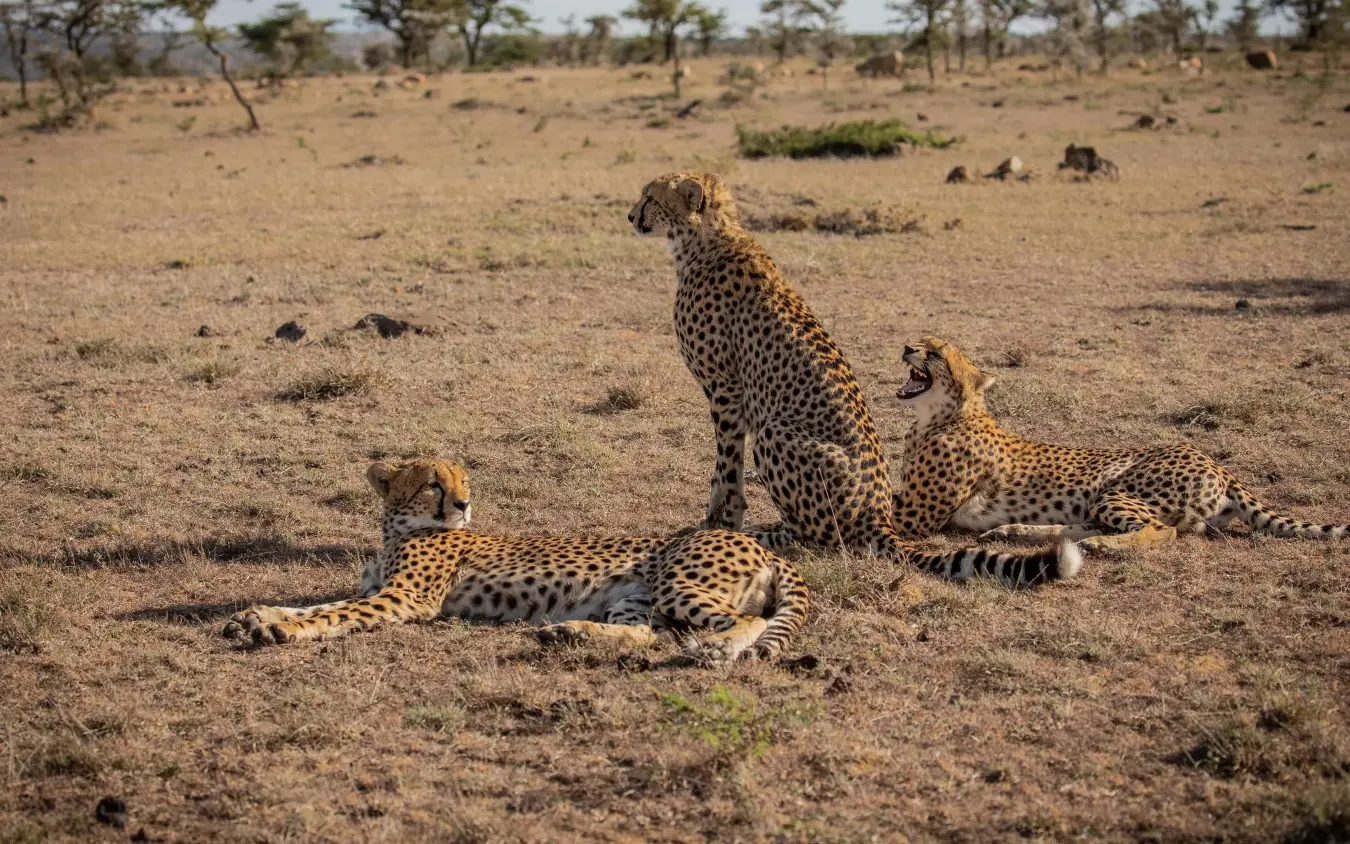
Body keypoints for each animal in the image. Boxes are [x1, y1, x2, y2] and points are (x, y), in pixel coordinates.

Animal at [221, 458, 809, 664]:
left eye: (463, 481)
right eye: (434, 483)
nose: (463, 504)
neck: (397, 530)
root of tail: (759, 543)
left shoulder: (405, 598)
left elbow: (333, 614)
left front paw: (280, 630)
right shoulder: (379, 591)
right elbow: (321, 604)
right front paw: (259, 617)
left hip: (676, 583)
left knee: (748, 622)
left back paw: (718, 649)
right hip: (634, 597)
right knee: (647, 634)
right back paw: (570, 634)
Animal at [628, 172, 1081, 587]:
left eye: (650, 197)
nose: (632, 216)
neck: (705, 239)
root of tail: (879, 515)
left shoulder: (725, 387)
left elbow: (726, 465)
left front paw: (721, 522)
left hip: (776, 431)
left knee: (817, 537)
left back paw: (768, 534)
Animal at [895, 336, 1349, 551]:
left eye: (935, 353)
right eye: (920, 340)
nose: (906, 347)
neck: (938, 418)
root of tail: (1216, 463)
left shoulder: (915, 515)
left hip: (1119, 491)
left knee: (1162, 531)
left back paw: (1100, 545)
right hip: (1101, 500)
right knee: (1084, 526)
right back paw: (1016, 531)